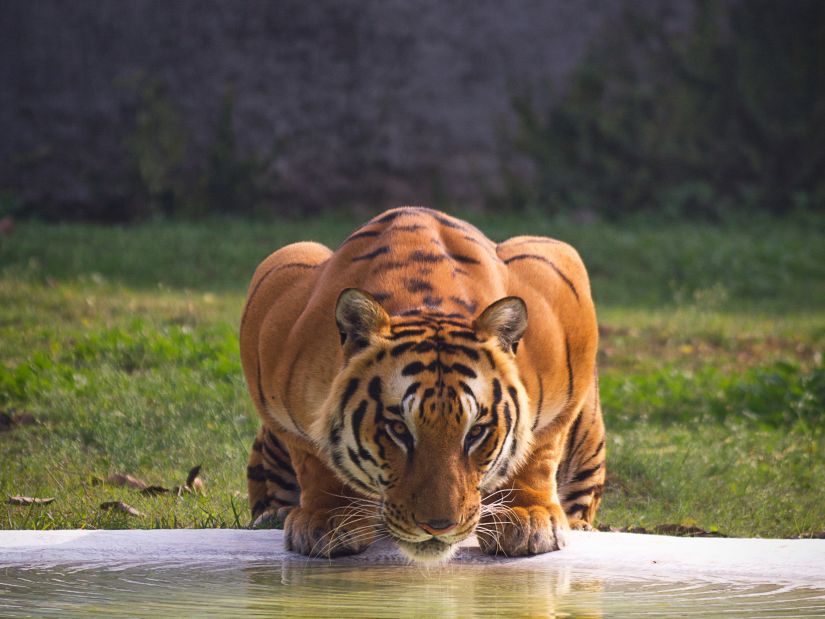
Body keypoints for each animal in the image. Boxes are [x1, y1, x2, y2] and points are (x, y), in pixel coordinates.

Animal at [238, 207, 604, 560]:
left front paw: (527, 516)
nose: (439, 526)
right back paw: (274, 515)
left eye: (476, 432)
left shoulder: (560, 280)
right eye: (398, 430)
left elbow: (539, 448)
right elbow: (312, 456)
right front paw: (327, 518)